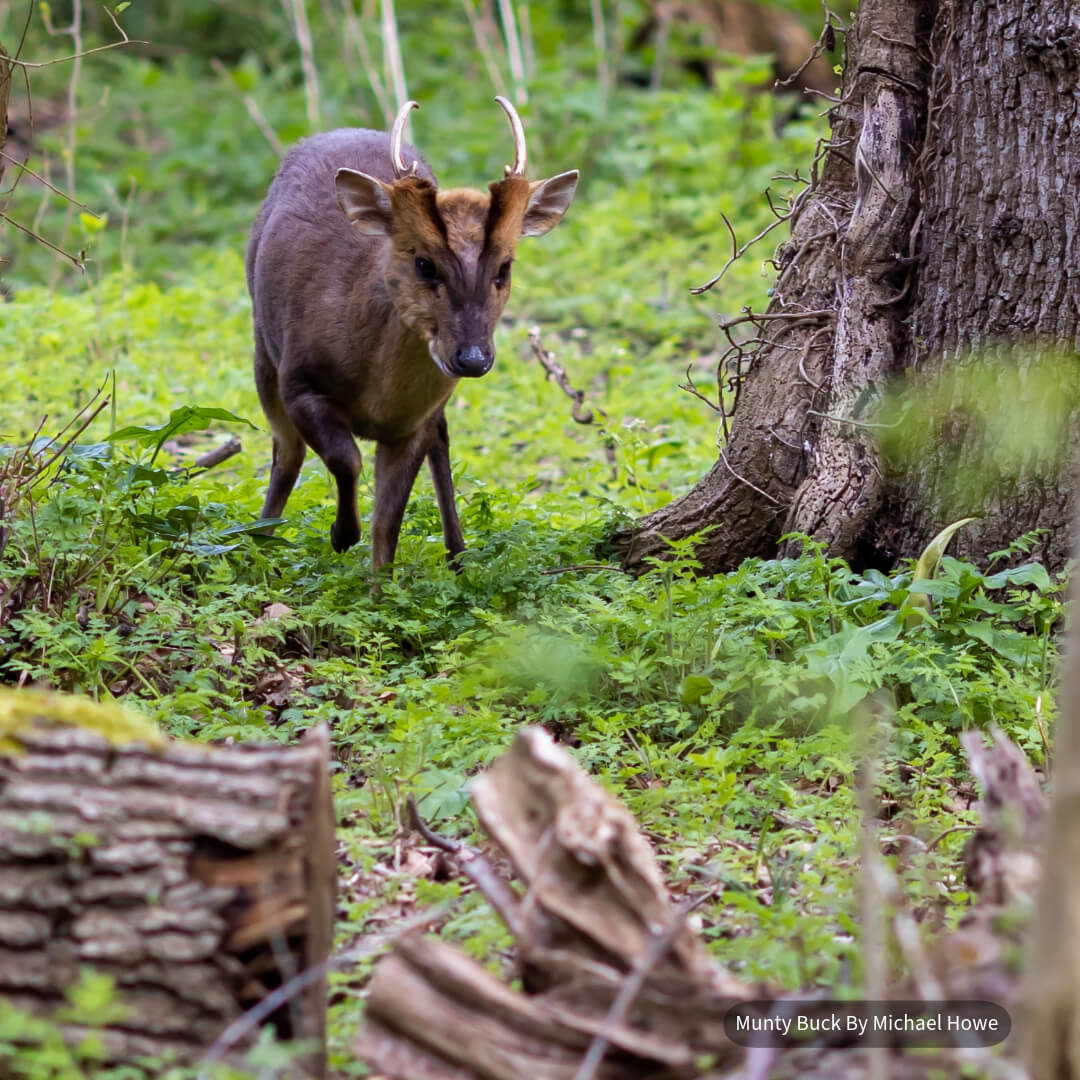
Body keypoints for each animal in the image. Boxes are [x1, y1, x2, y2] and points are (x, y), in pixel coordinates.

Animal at [246, 98, 579, 572]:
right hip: (263, 347)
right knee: (286, 451)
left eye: (504, 267)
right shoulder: (299, 380)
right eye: (424, 263)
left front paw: (377, 581)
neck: (376, 392)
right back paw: (259, 538)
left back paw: (458, 552)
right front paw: (342, 534)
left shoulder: (412, 422)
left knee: (441, 437)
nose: (472, 358)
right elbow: (345, 459)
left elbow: (389, 522)